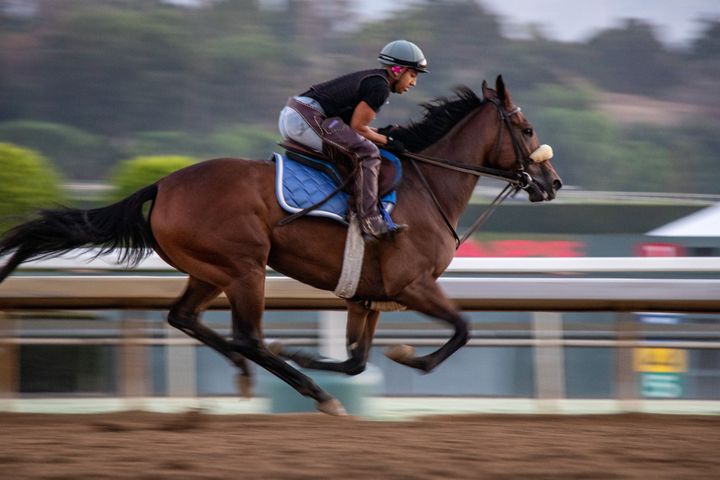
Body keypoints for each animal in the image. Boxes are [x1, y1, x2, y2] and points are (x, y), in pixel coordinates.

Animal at [0, 76, 561, 415]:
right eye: (527, 127)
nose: (551, 182)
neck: (429, 187)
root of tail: (163, 184)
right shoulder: (412, 284)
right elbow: (463, 329)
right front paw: (406, 357)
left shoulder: (368, 295)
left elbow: (357, 362)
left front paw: (311, 356)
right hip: (245, 268)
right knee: (247, 335)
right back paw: (304, 387)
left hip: (209, 270)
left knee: (185, 318)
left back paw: (254, 373)